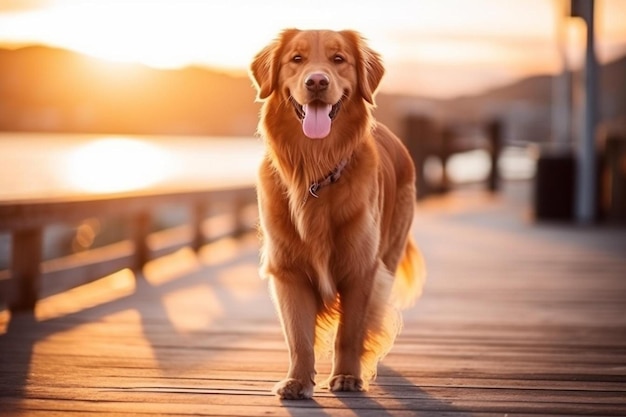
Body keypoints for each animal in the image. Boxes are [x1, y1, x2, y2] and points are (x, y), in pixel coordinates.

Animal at [249, 29, 424, 400]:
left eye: (339, 59)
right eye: (297, 59)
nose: (317, 81)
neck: (315, 171)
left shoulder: (361, 269)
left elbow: (350, 332)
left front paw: (347, 376)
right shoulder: (288, 270)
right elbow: (299, 336)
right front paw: (297, 381)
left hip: (390, 251)